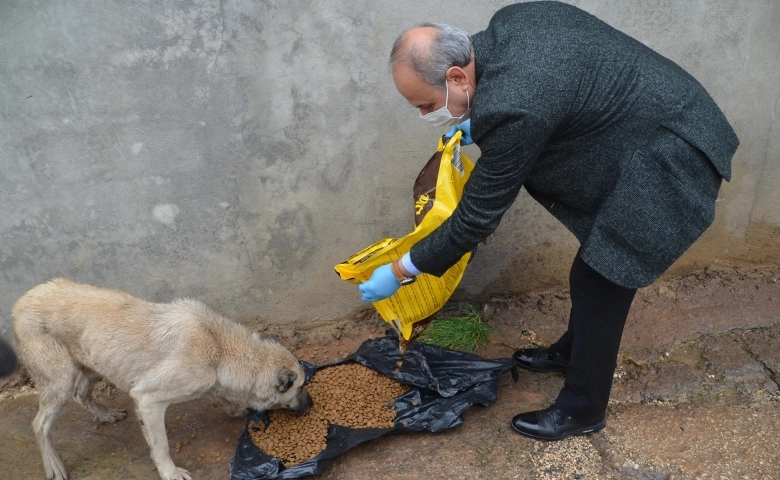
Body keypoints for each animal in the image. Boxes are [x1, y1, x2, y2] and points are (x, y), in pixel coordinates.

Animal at [12, 278, 310, 480]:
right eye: (299, 387)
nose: (312, 404)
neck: (218, 345)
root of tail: (19, 303)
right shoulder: (148, 400)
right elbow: (161, 446)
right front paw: (170, 472)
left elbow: (219, 394)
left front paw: (234, 407)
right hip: (60, 381)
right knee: (39, 423)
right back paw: (53, 465)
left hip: (91, 366)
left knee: (81, 395)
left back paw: (105, 415)